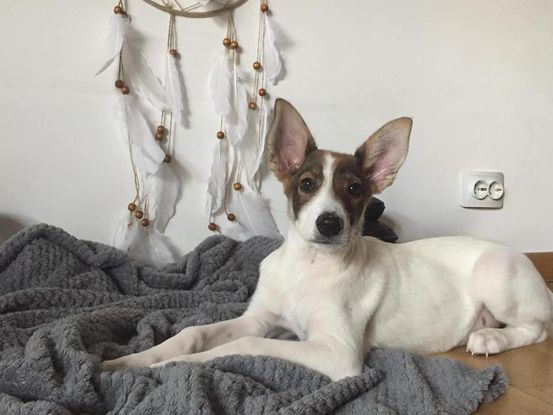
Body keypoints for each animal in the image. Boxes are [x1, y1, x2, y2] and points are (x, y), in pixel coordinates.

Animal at [104, 99, 553, 381]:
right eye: (306, 184)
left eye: (354, 190)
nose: (329, 223)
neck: (309, 266)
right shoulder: (260, 318)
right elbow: (194, 333)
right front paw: (132, 360)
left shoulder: (337, 353)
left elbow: (244, 345)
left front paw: (174, 367)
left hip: (497, 276)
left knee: (537, 329)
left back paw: (491, 338)